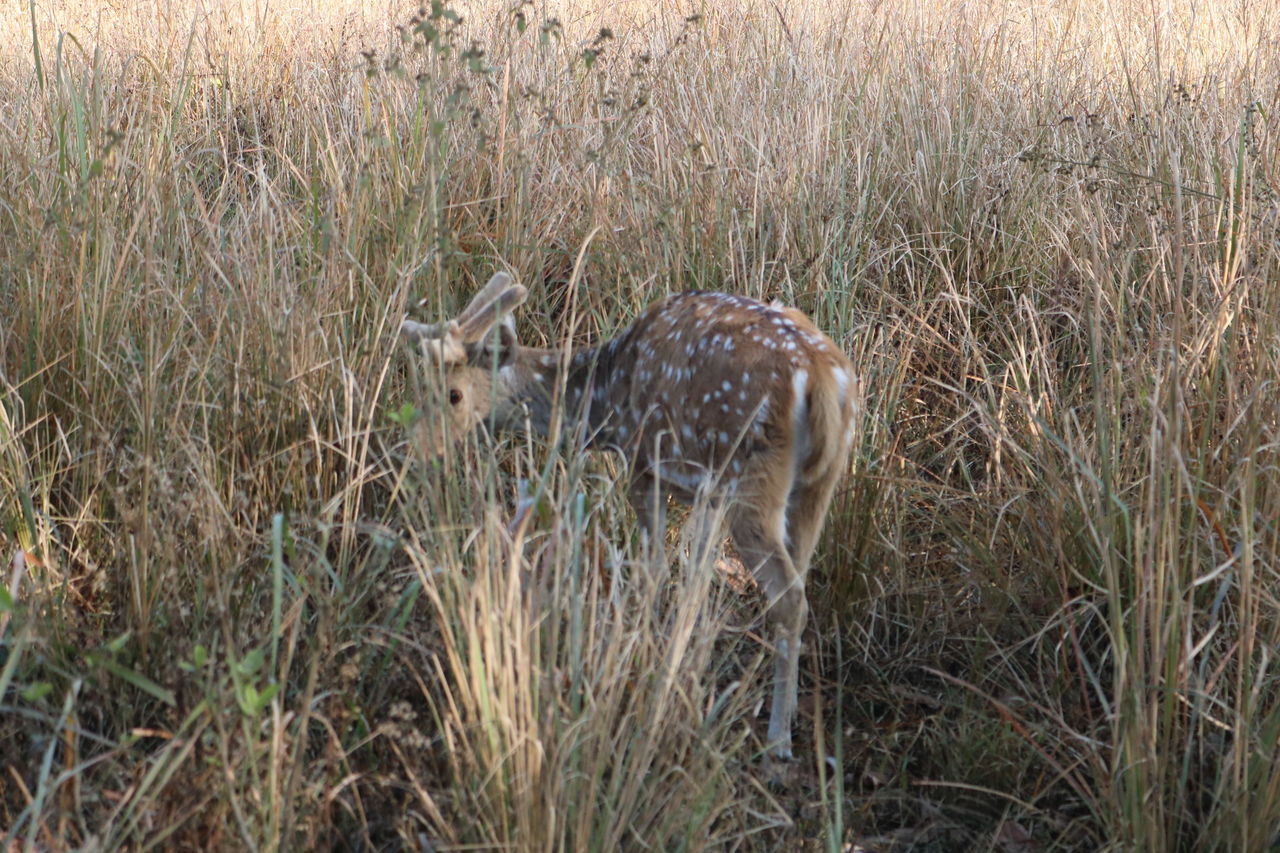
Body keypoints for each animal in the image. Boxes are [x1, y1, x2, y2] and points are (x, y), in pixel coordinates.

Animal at [401, 268, 860, 753]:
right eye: (421, 386)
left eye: (454, 394)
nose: (414, 449)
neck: (605, 398)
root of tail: (823, 380)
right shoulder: (709, 495)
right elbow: (696, 582)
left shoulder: (644, 465)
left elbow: (655, 570)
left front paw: (650, 673)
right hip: (814, 486)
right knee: (799, 583)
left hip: (750, 478)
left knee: (788, 598)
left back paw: (777, 741)